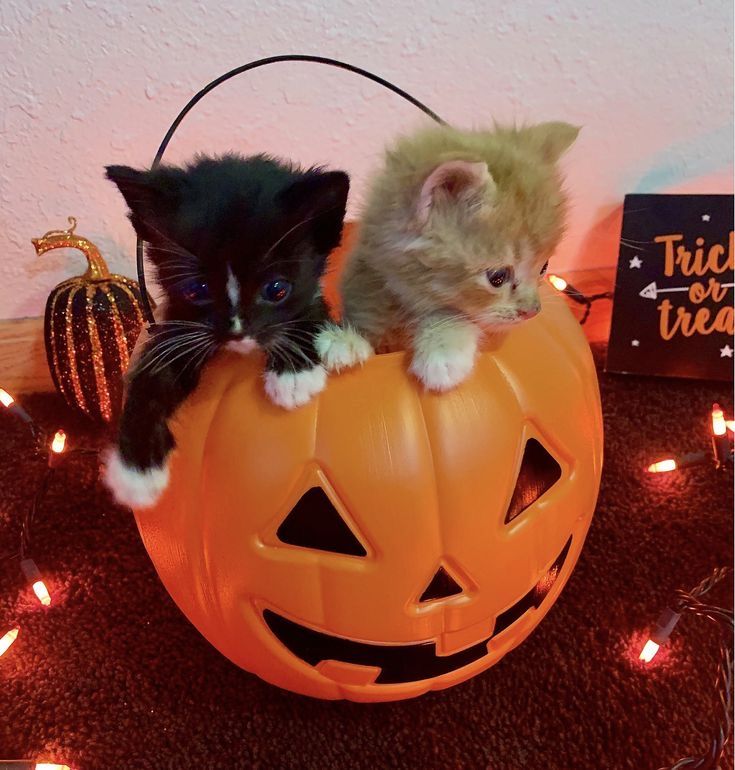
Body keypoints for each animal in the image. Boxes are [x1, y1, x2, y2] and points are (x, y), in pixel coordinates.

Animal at [101, 153, 350, 508]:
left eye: (277, 289)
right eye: (196, 289)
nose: (237, 332)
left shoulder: (312, 299)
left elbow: (309, 316)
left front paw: (293, 376)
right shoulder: (178, 325)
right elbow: (153, 373)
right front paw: (135, 470)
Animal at [316, 121, 580, 390]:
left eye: (544, 267)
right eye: (497, 277)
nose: (532, 312)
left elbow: (455, 317)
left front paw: (444, 349)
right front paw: (346, 341)